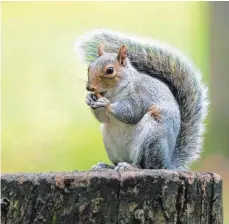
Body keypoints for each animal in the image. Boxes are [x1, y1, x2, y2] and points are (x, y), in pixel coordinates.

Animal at [76, 29, 208, 170]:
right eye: (89, 67)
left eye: (110, 70)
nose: (89, 88)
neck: (114, 93)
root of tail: (166, 164)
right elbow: (104, 118)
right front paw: (89, 98)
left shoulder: (140, 96)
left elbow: (132, 113)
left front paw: (107, 104)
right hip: (110, 139)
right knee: (118, 162)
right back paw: (106, 166)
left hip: (152, 138)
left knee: (146, 165)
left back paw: (130, 167)